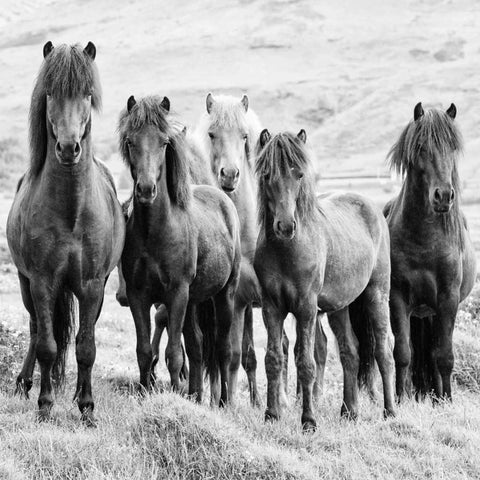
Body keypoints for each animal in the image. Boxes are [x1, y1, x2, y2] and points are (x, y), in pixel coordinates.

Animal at [6, 42, 124, 424]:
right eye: (50, 92)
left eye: (87, 93)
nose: (69, 147)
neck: (71, 212)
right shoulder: (42, 281)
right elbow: (47, 344)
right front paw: (45, 405)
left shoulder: (91, 285)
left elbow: (86, 347)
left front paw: (86, 407)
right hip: (27, 285)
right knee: (34, 330)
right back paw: (24, 384)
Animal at [118, 94, 242, 404]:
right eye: (130, 141)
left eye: (164, 142)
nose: (146, 189)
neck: (156, 232)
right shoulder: (138, 296)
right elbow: (144, 351)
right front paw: (146, 392)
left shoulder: (176, 294)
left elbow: (174, 353)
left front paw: (174, 394)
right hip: (194, 301)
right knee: (197, 347)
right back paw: (196, 395)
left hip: (224, 295)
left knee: (223, 349)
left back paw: (223, 402)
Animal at [253, 129, 396, 430]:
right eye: (267, 174)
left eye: (299, 175)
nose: (285, 226)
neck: (287, 250)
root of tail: (372, 208)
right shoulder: (271, 308)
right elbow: (273, 359)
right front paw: (272, 414)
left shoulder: (306, 308)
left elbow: (305, 363)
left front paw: (308, 420)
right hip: (339, 308)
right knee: (350, 352)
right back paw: (349, 411)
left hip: (377, 295)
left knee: (383, 351)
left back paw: (389, 411)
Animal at [380, 104, 474, 402]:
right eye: (421, 147)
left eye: (452, 147)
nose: (443, 196)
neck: (424, 242)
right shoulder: (397, 298)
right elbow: (403, 353)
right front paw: (400, 399)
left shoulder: (448, 298)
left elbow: (444, 356)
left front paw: (447, 401)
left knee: (434, 354)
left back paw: (438, 397)